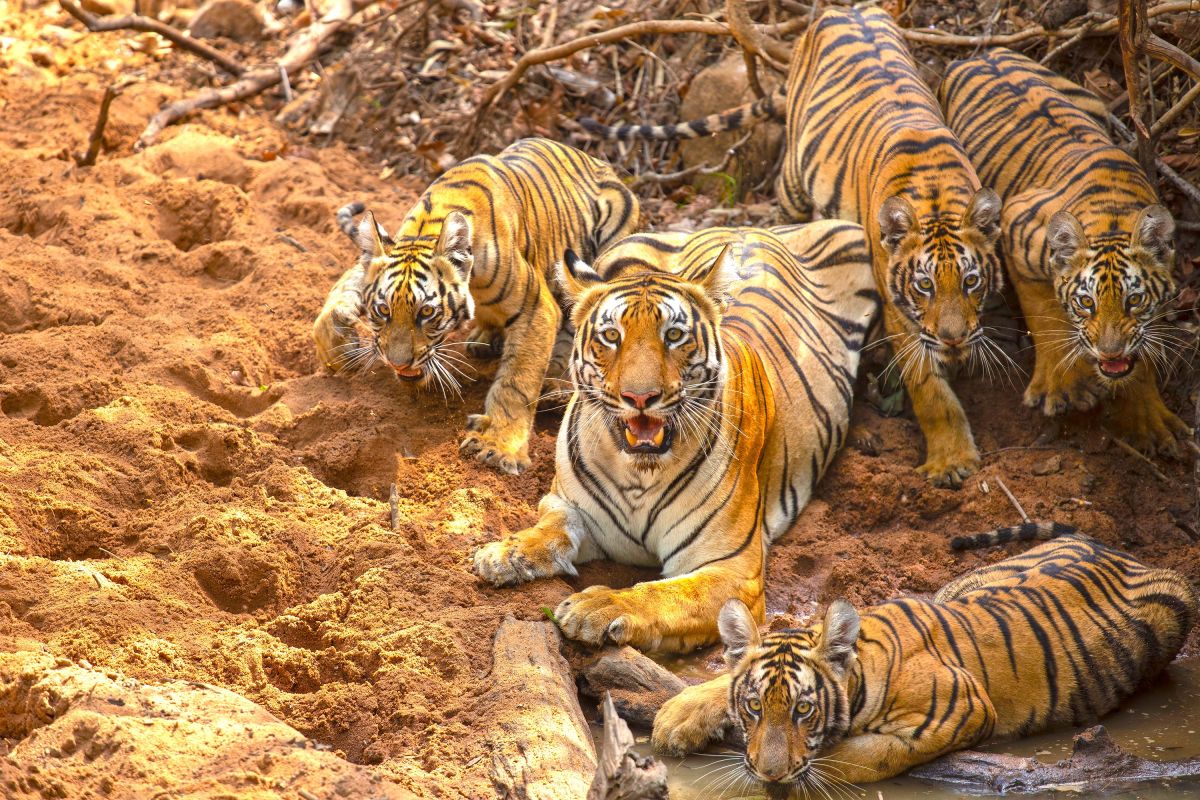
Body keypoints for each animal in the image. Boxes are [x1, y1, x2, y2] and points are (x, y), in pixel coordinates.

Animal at [313, 137, 639, 474]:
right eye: (383, 311)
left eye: (426, 313)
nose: (398, 364)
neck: (427, 227)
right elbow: (341, 289)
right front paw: (336, 347)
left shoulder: (536, 306)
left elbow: (516, 382)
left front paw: (500, 446)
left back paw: (554, 387)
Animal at [473, 221, 879, 652]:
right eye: (611, 335)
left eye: (674, 335)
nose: (639, 397)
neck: (638, 473)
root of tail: (748, 227)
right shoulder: (567, 505)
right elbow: (549, 529)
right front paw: (503, 553)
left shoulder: (731, 568)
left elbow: (664, 593)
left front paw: (597, 606)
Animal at [582, 8, 1004, 489]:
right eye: (923, 286)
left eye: (971, 281)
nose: (954, 340)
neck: (936, 194)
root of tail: (839, 10)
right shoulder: (898, 308)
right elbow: (930, 386)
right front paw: (952, 461)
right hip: (793, 182)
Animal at [651, 523, 1197, 796]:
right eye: (754, 707)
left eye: (804, 710)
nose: (768, 775)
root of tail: (1111, 546)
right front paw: (677, 717)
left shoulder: (963, 709)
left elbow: (860, 757)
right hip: (965, 580)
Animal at [938, 49, 1188, 456]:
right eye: (1086, 303)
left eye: (1134, 300)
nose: (1110, 353)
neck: (1113, 217)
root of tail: (981, 52)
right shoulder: (1015, 224)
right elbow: (1045, 316)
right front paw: (1063, 388)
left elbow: (1141, 357)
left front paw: (1149, 419)